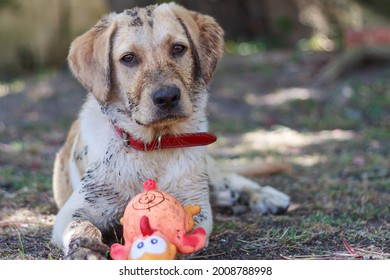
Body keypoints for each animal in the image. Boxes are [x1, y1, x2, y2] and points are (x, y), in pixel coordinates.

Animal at [51, 2, 290, 260]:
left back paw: (266, 196)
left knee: (231, 178)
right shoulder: (76, 209)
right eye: (128, 58)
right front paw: (85, 249)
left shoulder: (196, 208)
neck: (155, 144)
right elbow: (82, 227)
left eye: (178, 48)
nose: (167, 97)